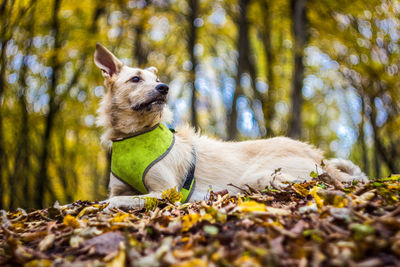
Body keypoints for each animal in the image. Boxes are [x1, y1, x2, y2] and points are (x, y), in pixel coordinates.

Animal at [94, 43, 368, 211]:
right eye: (135, 79)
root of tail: (320, 158)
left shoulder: (166, 191)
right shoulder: (120, 186)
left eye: (157, 80)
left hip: (263, 176)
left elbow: (119, 200)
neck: (135, 135)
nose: (165, 88)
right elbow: (110, 196)